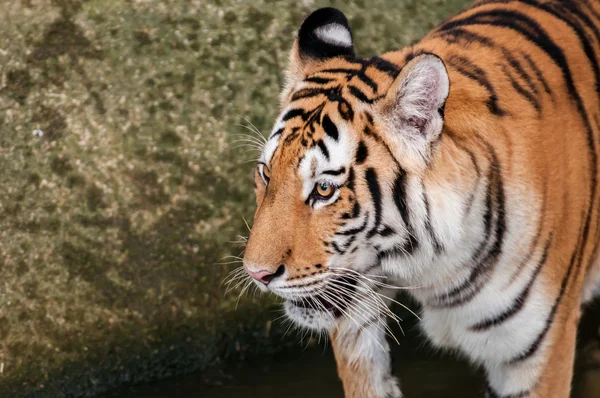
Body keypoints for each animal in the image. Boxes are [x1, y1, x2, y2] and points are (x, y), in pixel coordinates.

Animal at [239, 1, 600, 396]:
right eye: (266, 173)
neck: (435, 272)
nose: (257, 274)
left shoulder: (537, 355)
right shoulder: (356, 326)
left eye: (324, 189)